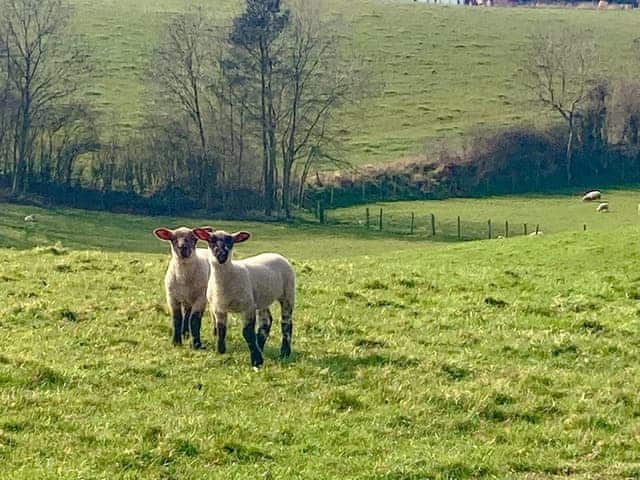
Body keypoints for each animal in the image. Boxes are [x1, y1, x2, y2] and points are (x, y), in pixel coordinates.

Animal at [194, 228, 296, 368]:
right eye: (211, 240)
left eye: (230, 241)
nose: (221, 255)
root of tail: (276, 254)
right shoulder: (219, 308)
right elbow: (221, 329)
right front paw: (220, 351)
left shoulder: (248, 307)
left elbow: (247, 332)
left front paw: (256, 360)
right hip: (261, 299)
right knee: (266, 321)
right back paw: (261, 346)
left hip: (287, 293)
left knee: (286, 322)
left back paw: (284, 352)